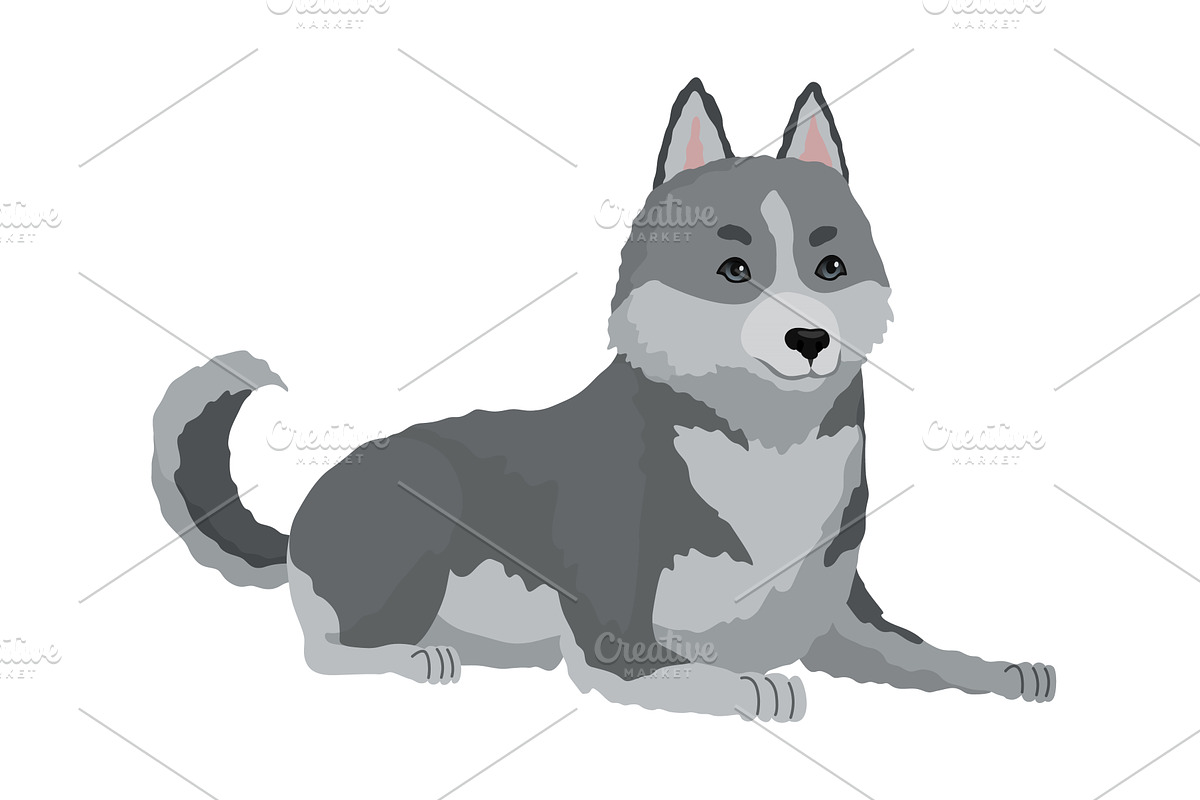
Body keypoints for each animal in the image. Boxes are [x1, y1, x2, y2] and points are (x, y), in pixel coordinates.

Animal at [152, 79, 1055, 721]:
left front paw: (1006, 671)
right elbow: (689, 672)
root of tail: (310, 507)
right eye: (734, 270)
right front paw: (748, 688)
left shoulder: (841, 624)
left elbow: (931, 659)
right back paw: (411, 660)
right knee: (330, 652)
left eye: (829, 267)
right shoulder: (614, 642)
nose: (810, 339)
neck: (765, 449)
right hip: (418, 512)